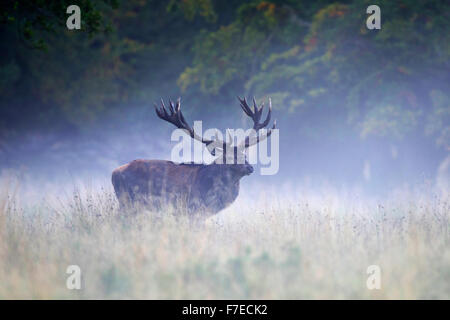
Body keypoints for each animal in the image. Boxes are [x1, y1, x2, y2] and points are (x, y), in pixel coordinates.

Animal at [110, 96, 276, 216]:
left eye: (244, 155)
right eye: (228, 156)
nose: (250, 167)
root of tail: (114, 172)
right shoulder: (193, 207)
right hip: (128, 201)